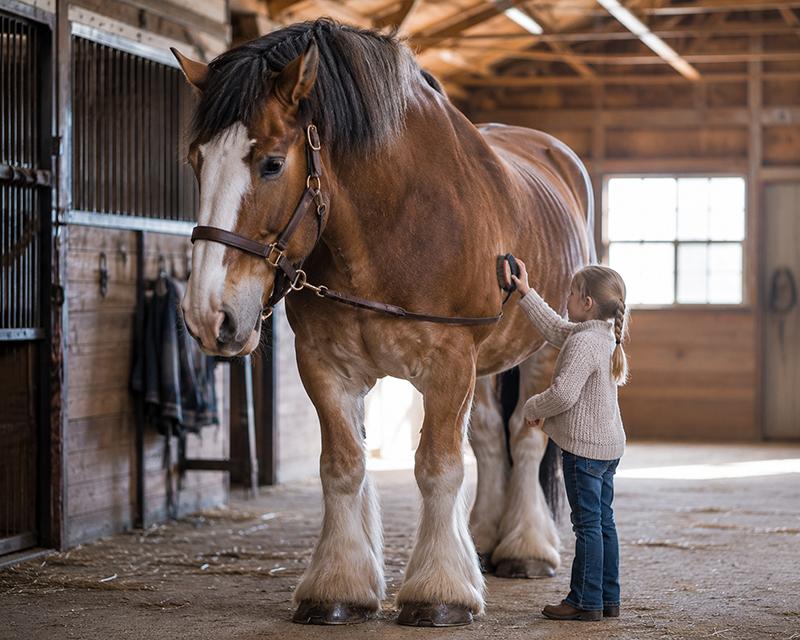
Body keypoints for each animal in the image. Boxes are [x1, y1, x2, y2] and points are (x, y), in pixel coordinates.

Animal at [172, 18, 594, 627]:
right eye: (196, 160)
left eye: (272, 162)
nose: (209, 315)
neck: (392, 223)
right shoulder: (325, 365)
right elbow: (343, 467)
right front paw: (339, 586)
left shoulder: (449, 363)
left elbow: (439, 467)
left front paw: (439, 593)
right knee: (492, 438)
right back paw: (485, 538)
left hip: (545, 349)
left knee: (526, 437)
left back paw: (526, 549)